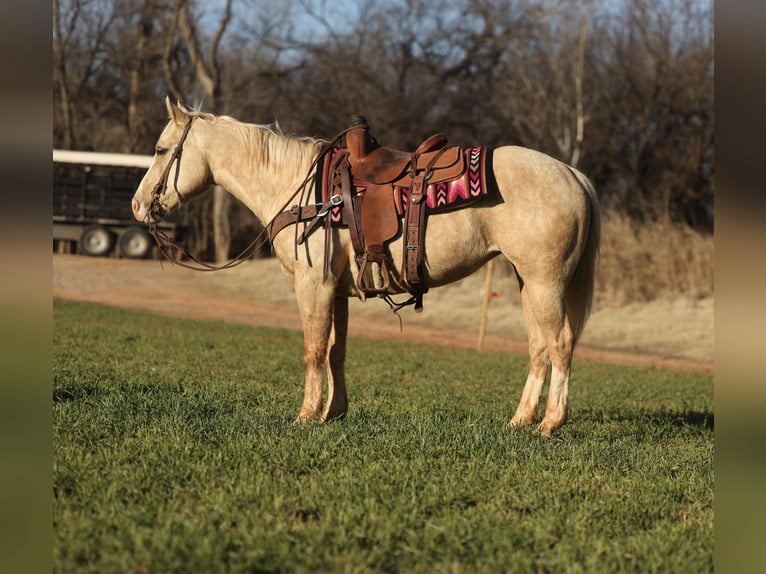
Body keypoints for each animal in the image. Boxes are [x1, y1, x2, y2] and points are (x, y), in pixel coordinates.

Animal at [132, 97, 601, 436]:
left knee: (560, 343)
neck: (300, 188)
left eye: (160, 150)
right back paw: (520, 420)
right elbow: (335, 350)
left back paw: (550, 423)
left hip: (545, 283)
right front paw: (333, 413)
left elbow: (313, 349)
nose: (138, 206)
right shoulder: (337, 289)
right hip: (529, 284)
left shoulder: (313, 284)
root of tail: (573, 174)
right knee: (539, 347)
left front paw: (305, 416)